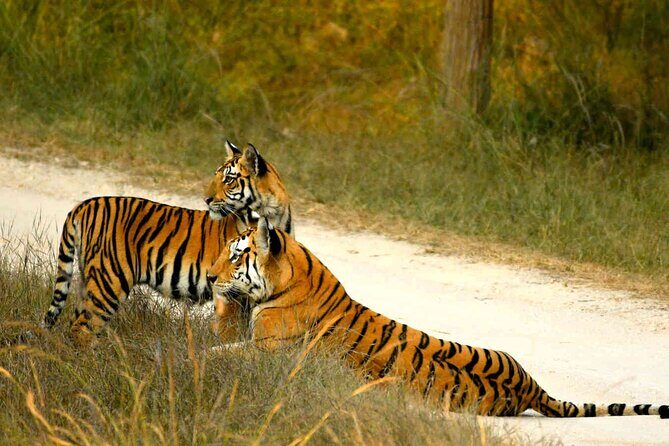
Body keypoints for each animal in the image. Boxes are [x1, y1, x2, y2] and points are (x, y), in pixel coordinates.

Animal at [43, 141, 293, 347]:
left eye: (229, 179)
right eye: (216, 176)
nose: (206, 200)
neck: (272, 214)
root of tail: (83, 205)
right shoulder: (230, 292)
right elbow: (229, 332)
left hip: (91, 280)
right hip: (109, 282)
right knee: (82, 328)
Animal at [207, 219, 669, 418]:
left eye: (236, 254)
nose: (209, 277)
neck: (293, 277)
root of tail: (533, 389)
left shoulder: (267, 351)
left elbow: (220, 350)